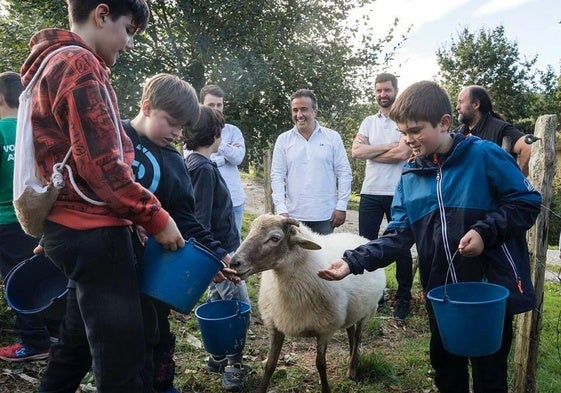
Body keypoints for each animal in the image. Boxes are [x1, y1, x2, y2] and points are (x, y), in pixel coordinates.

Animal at [230, 214, 388, 392]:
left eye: (275, 238)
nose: (234, 263)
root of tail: (359, 237)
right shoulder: (276, 325)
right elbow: (270, 364)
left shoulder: (325, 330)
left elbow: (321, 364)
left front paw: (326, 389)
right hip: (353, 310)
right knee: (350, 332)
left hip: (368, 311)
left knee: (358, 336)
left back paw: (352, 368)